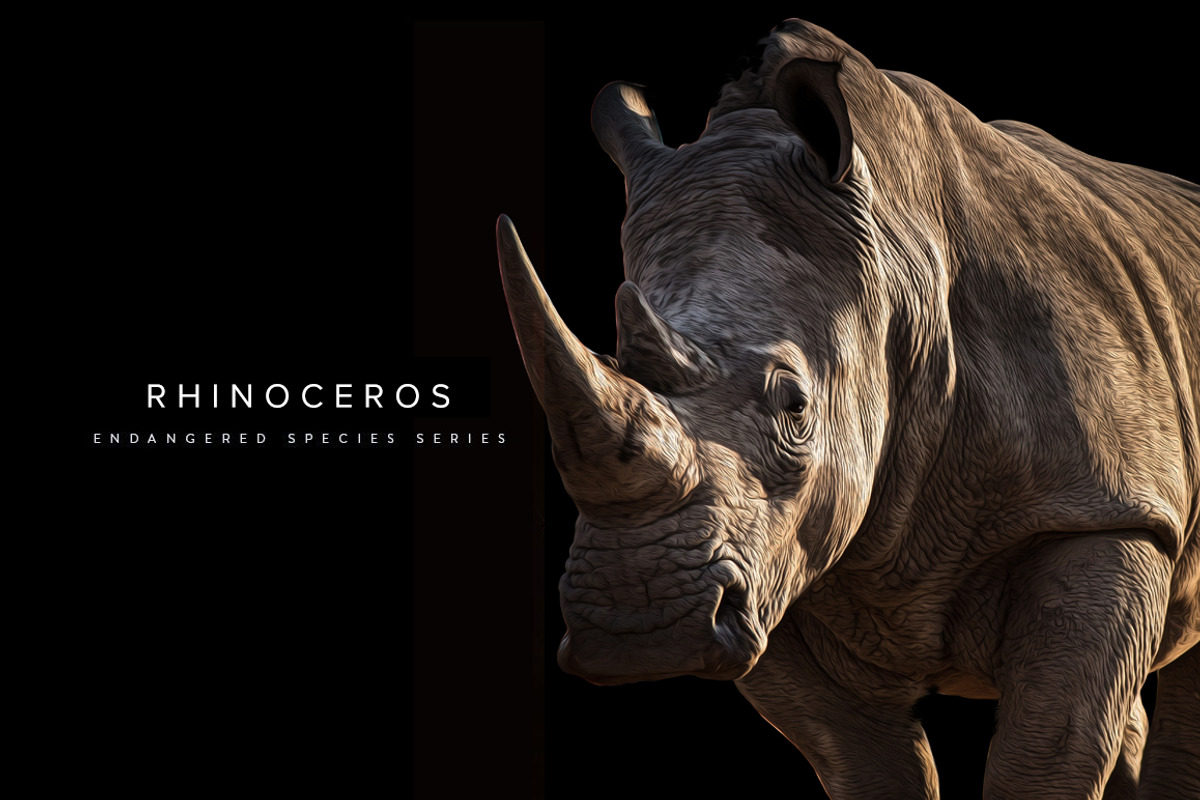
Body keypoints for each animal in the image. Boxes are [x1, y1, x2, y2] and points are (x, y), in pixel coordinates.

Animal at [498, 19, 1199, 799]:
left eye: (794, 404)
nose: (637, 626)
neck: (900, 261)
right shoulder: (773, 563)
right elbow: (867, 759)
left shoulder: (1103, 510)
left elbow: (1049, 750)